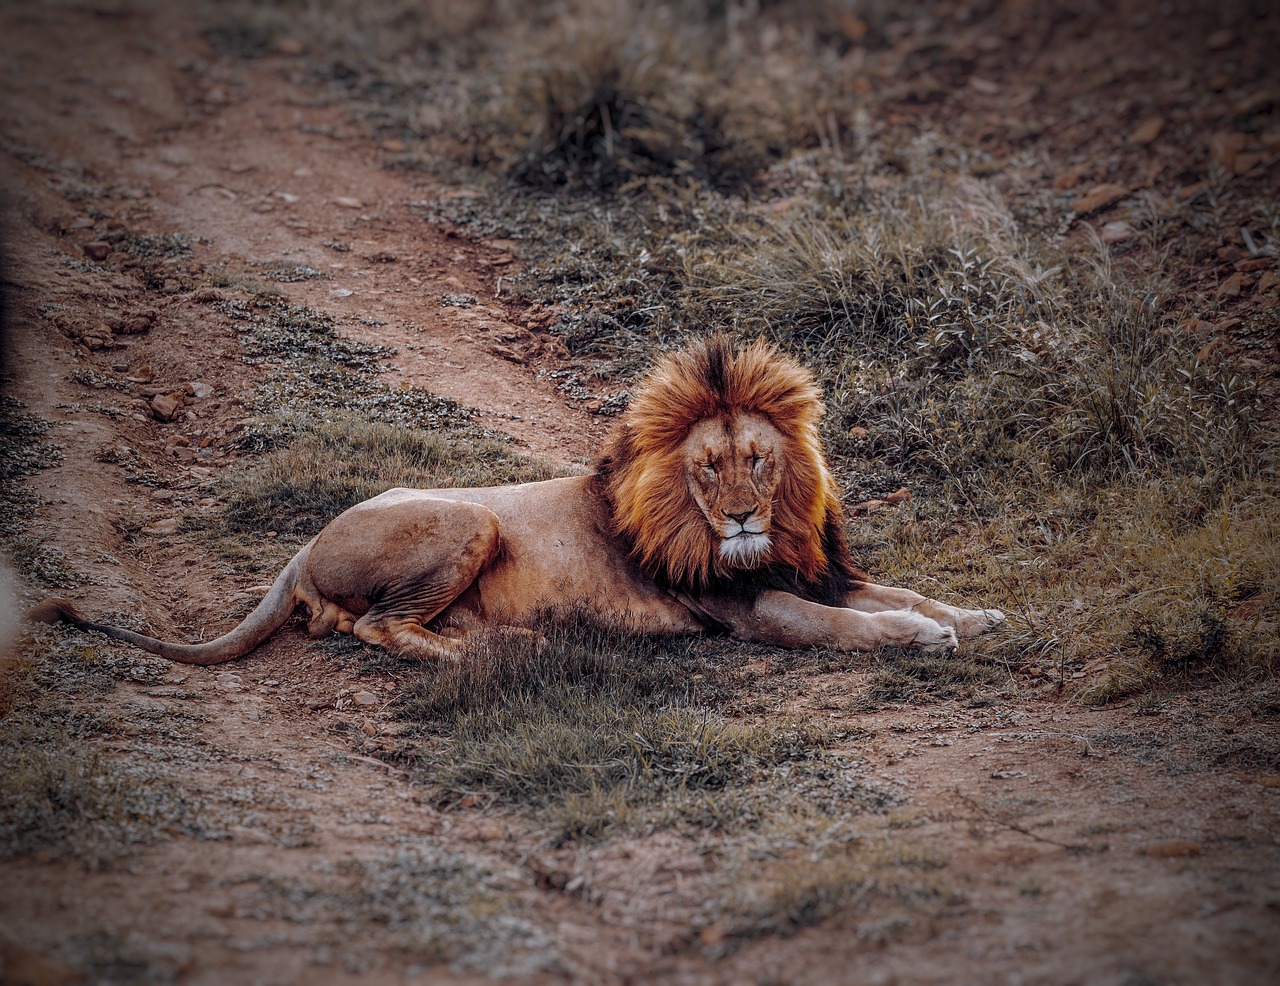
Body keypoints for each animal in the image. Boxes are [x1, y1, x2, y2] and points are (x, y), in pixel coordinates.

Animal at [30, 332, 1003, 665]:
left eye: (759, 462)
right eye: (709, 468)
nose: (739, 518)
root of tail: (301, 547)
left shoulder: (814, 570)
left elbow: (901, 591)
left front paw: (974, 614)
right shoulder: (752, 610)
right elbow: (847, 626)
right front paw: (923, 637)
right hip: (473, 516)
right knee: (377, 628)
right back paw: (497, 650)